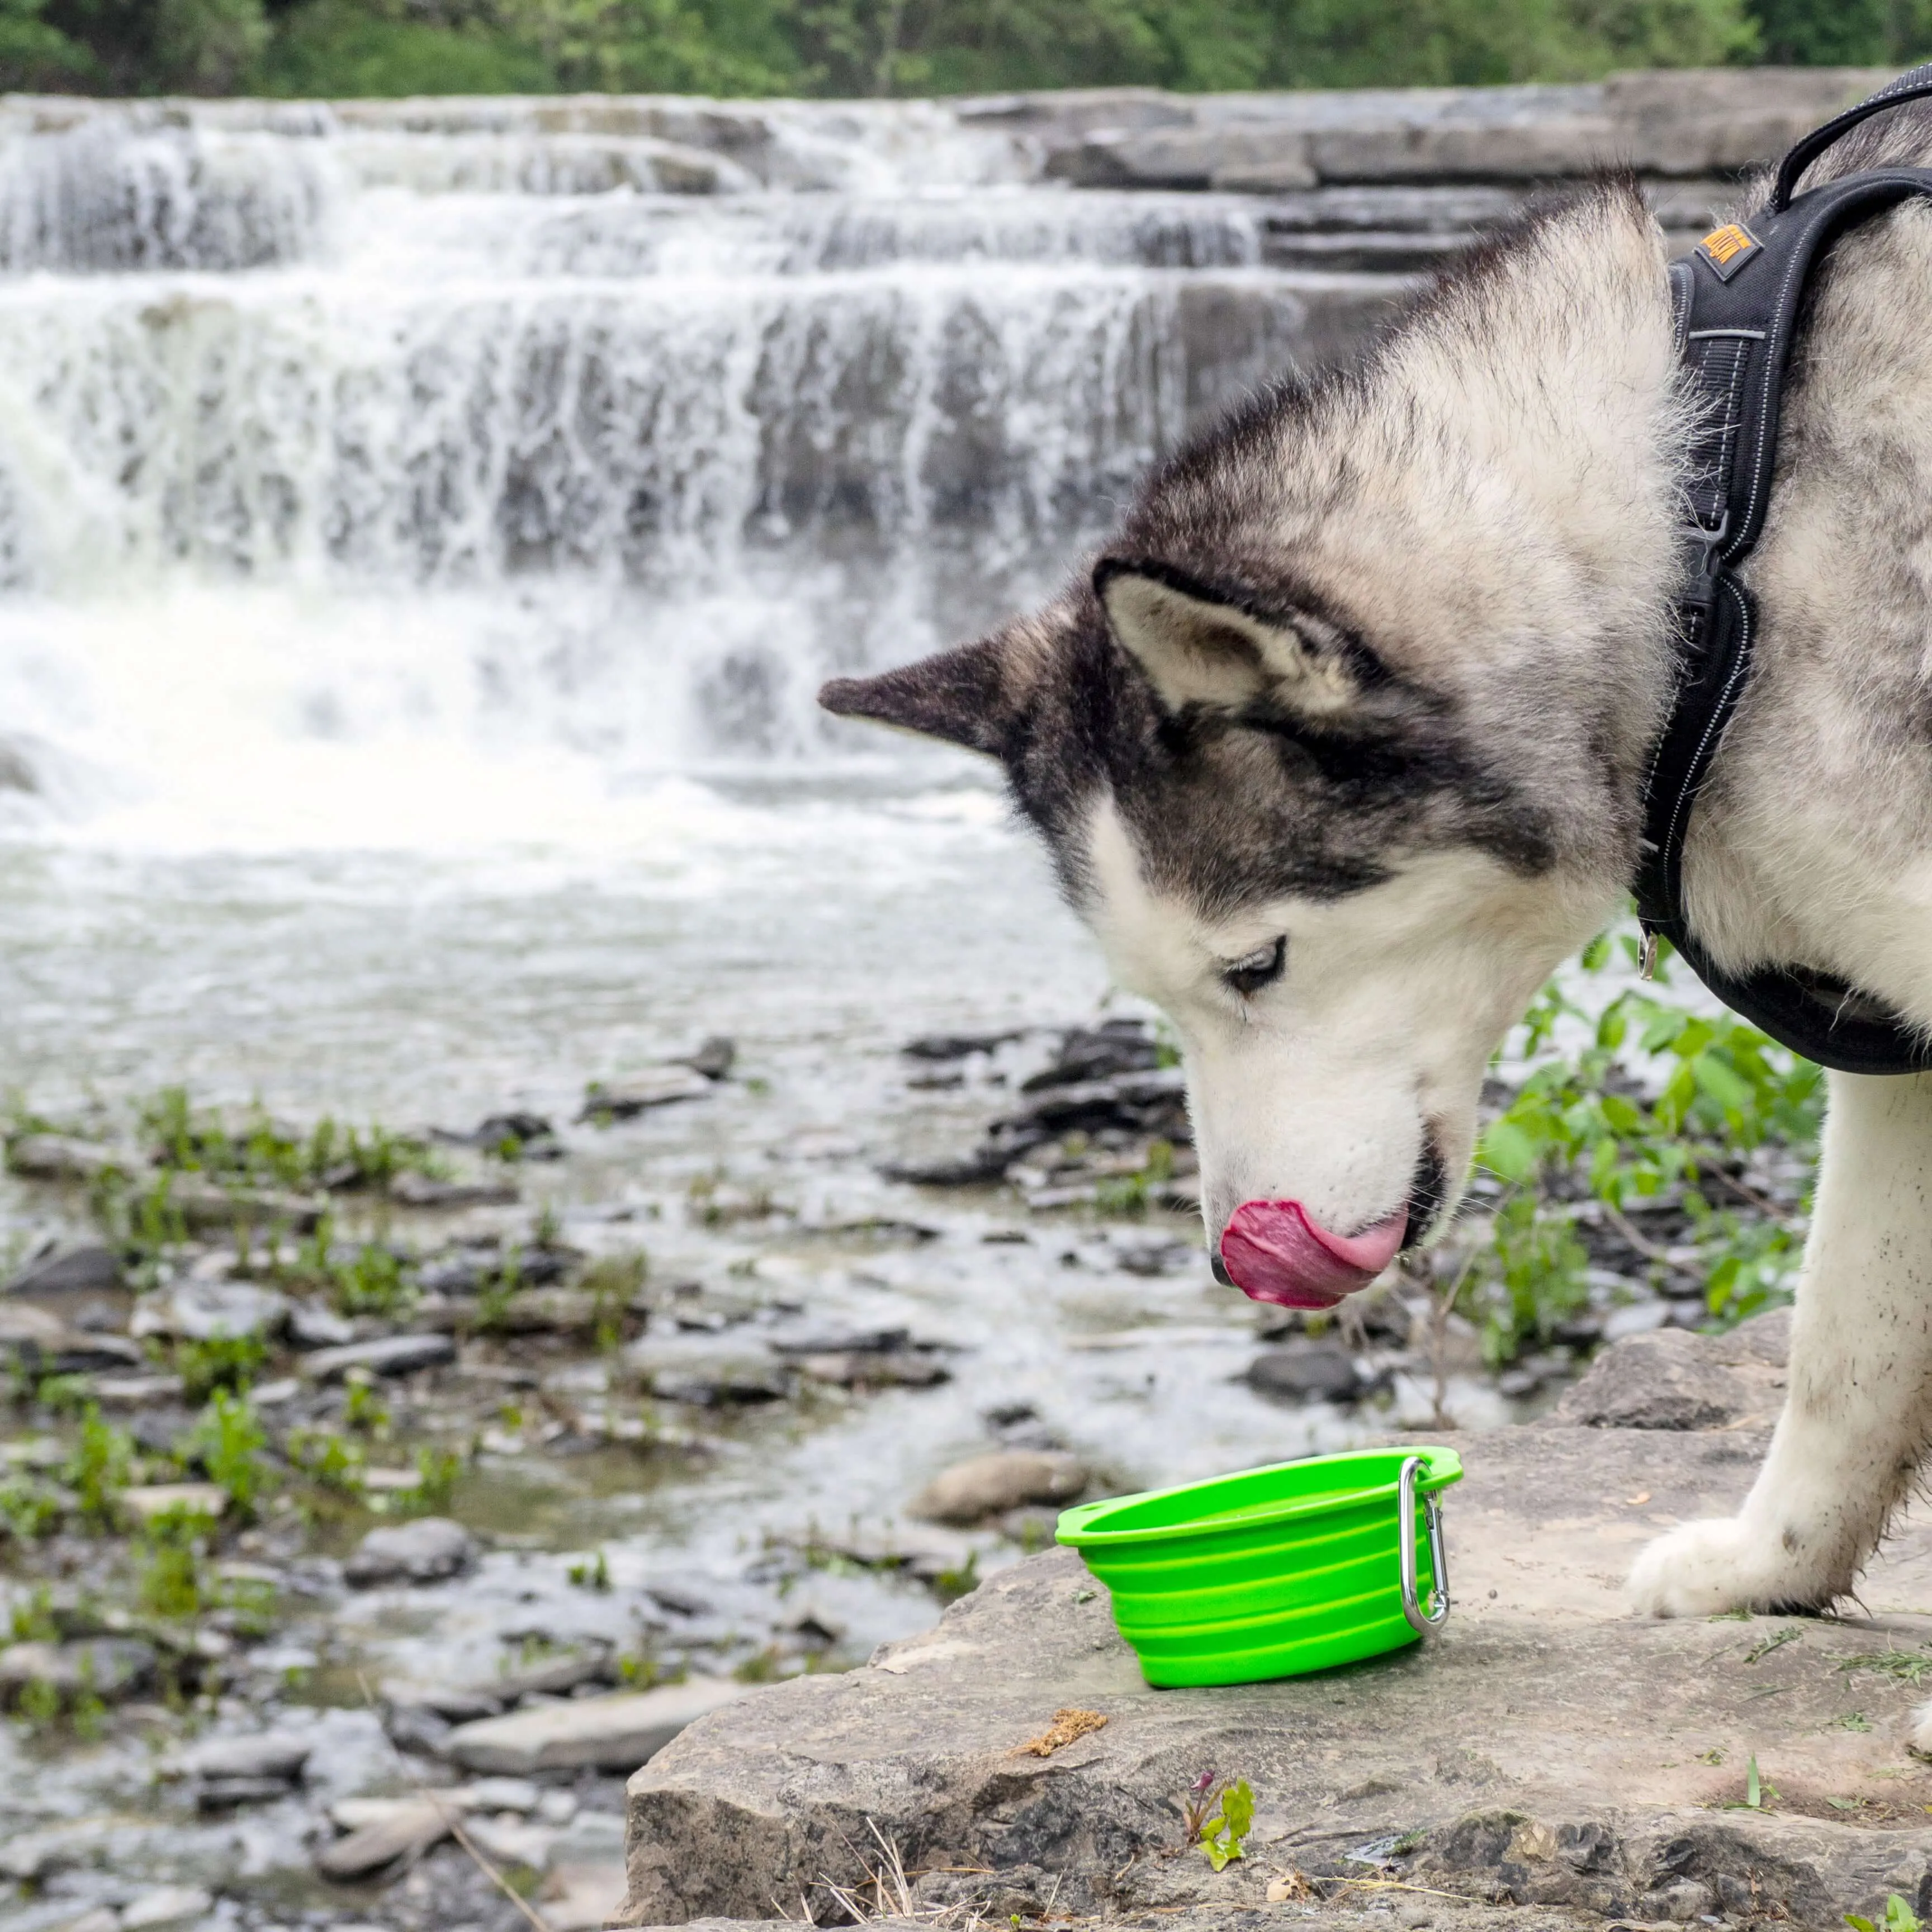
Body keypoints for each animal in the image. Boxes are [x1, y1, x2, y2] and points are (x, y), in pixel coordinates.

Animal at [823, 98, 1932, 1739]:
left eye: (1256, 962)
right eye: (1154, 997)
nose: (1237, 1260)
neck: (1715, 527)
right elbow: (1844, 1339)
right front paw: (1769, 1567)